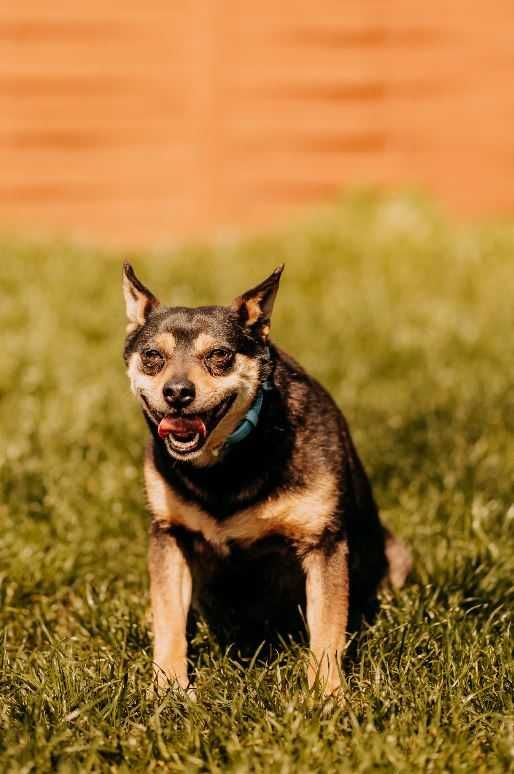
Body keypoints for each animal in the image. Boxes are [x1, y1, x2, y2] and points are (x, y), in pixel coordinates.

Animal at [122, 264, 410, 700]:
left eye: (219, 355)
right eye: (153, 356)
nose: (177, 393)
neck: (227, 462)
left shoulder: (323, 543)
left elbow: (327, 631)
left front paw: (327, 697)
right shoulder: (169, 534)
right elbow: (169, 619)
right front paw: (168, 689)